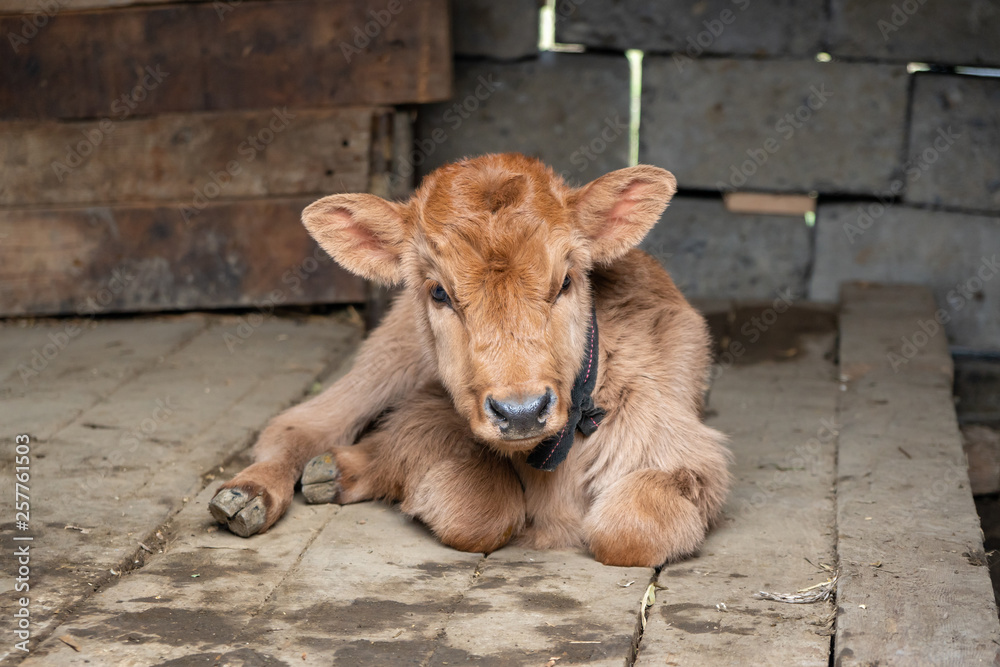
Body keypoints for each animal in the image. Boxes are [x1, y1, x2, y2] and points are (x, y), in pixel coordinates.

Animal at [209, 154, 728, 568]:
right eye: (439, 292)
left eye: (565, 281)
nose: (522, 412)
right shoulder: (430, 417)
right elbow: (479, 510)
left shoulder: (688, 458)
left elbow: (632, 531)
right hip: (388, 360)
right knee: (300, 425)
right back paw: (248, 497)